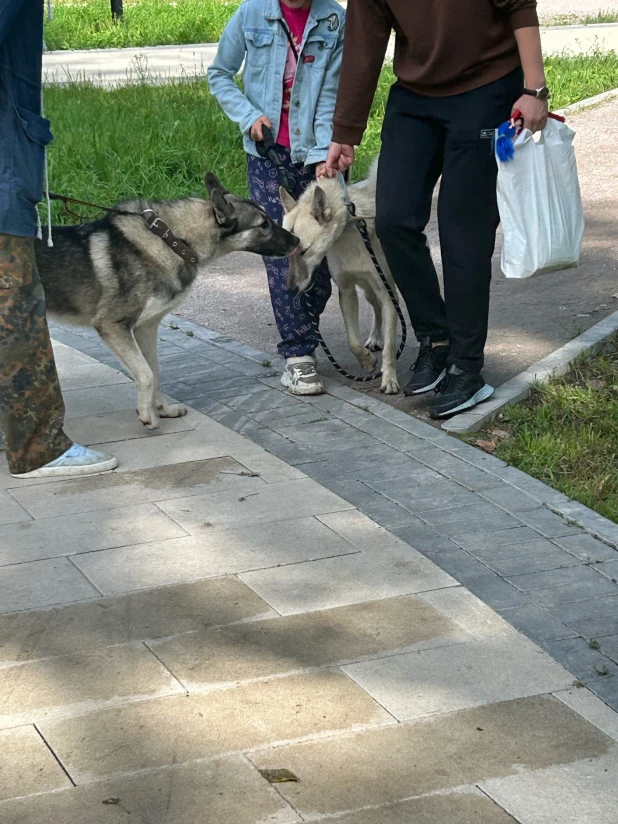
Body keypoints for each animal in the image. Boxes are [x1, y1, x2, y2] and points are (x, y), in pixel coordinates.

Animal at [35, 175, 298, 432]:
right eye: (263, 224)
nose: (296, 240)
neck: (172, 240)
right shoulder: (113, 325)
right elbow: (146, 374)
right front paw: (147, 415)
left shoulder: (146, 328)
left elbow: (155, 371)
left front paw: (163, 409)